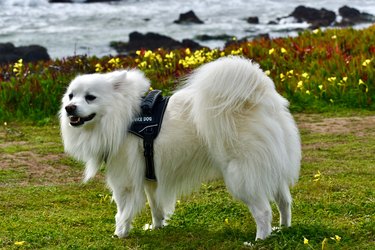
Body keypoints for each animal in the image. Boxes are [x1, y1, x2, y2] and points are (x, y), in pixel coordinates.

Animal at [61, 56, 302, 240]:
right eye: (71, 95)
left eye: (90, 97)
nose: (69, 108)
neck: (122, 116)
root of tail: (260, 98)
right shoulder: (151, 178)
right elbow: (156, 207)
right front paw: (157, 227)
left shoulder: (124, 181)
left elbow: (122, 212)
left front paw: (120, 233)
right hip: (270, 168)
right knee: (284, 201)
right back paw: (283, 227)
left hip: (241, 175)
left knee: (263, 210)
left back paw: (259, 238)